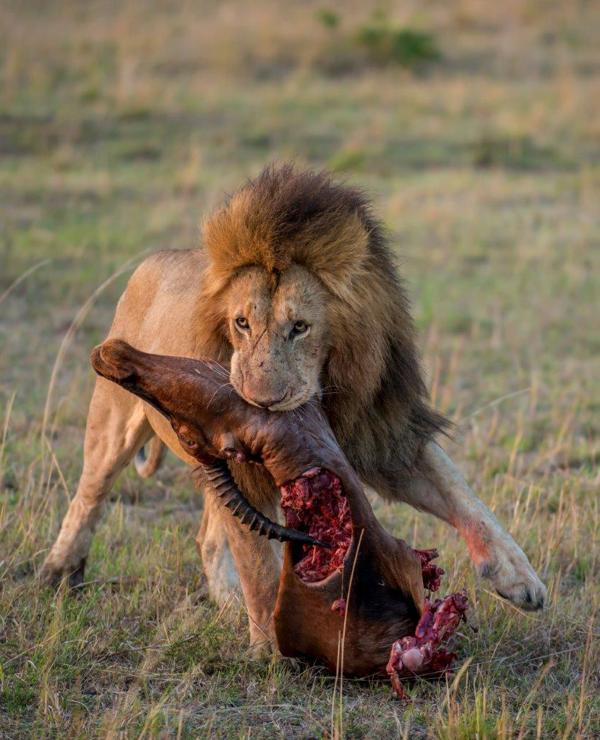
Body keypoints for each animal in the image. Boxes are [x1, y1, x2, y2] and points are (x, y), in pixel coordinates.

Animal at [42, 163, 548, 652]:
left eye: (300, 327)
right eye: (241, 323)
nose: (262, 402)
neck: (326, 394)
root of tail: (156, 257)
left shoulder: (380, 433)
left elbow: (464, 496)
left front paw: (519, 579)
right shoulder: (244, 465)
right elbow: (260, 565)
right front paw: (273, 647)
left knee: (209, 537)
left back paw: (229, 604)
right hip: (112, 421)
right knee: (89, 494)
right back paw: (59, 572)